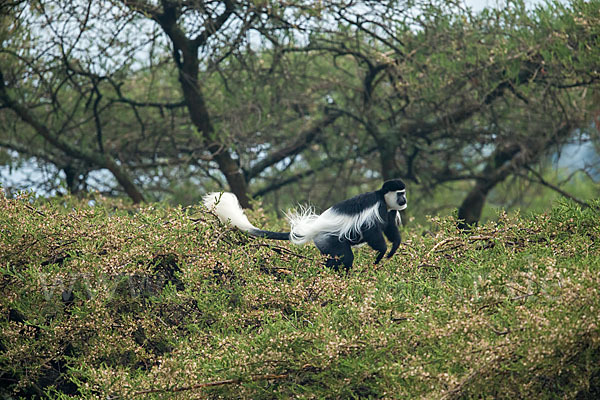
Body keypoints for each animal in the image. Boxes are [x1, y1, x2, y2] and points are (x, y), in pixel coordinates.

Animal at [203, 180, 408, 270]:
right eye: (400, 194)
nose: (404, 200)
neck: (382, 198)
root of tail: (313, 228)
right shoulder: (376, 209)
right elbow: (371, 230)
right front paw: (381, 253)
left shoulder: (390, 211)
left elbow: (390, 229)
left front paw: (394, 247)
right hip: (328, 240)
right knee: (344, 257)